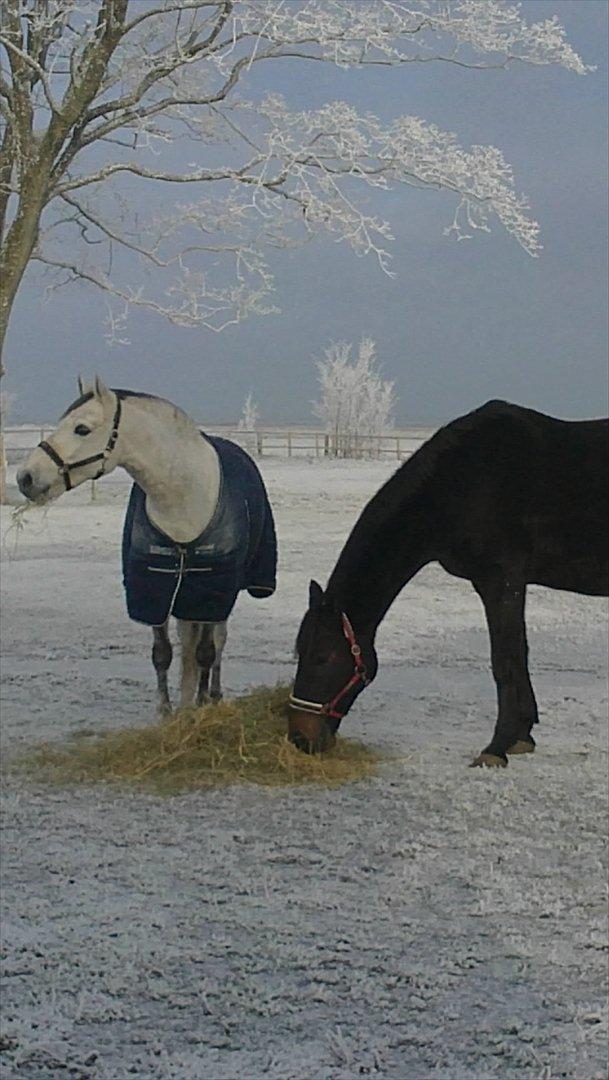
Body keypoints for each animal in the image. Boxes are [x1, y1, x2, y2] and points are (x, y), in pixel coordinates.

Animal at [16, 380, 278, 717]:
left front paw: (200, 706)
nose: (25, 477)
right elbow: (163, 654)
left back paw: (213, 695)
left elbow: (206, 651)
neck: (183, 497)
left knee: (218, 642)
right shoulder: (155, 589)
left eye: (82, 429)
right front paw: (167, 712)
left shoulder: (213, 591)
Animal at [291, 401, 609, 764]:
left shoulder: (500, 580)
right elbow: (518, 656)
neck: (463, 482)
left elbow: (506, 660)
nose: (299, 737)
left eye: (322, 656)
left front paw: (496, 748)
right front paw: (521, 736)